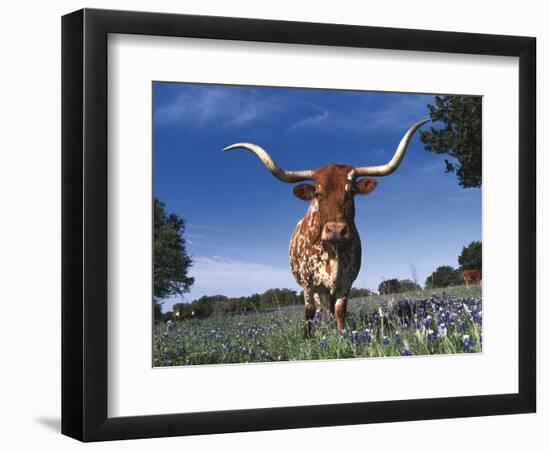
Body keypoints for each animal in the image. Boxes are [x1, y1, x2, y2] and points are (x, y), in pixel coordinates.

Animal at [224, 118, 432, 336]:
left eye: (351, 192)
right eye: (318, 194)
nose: (337, 231)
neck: (333, 251)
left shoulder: (346, 281)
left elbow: (340, 310)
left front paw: (341, 335)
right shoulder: (308, 284)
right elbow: (309, 312)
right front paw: (307, 338)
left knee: (328, 308)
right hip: (317, 289)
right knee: (320, 309)